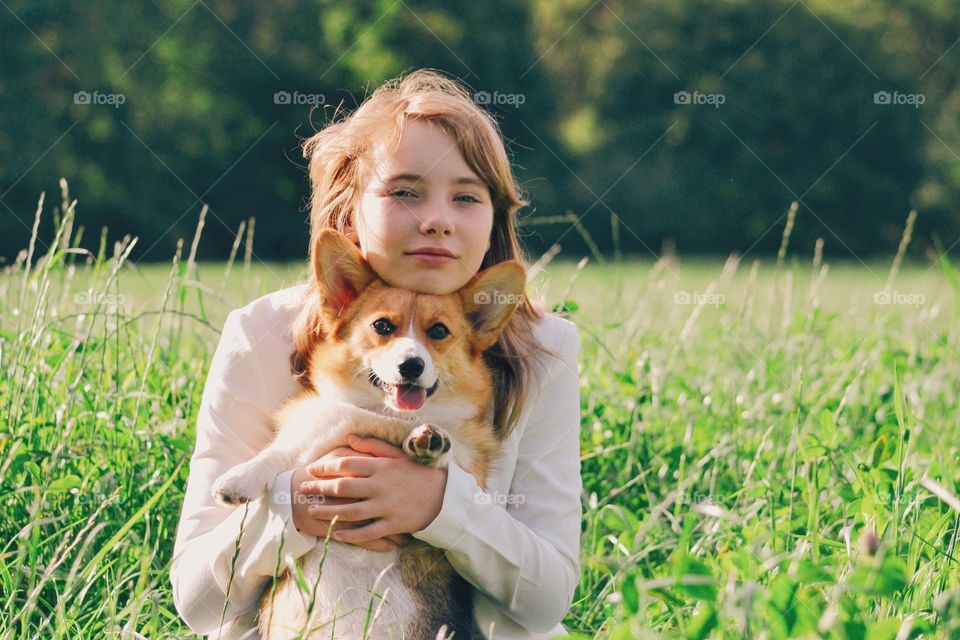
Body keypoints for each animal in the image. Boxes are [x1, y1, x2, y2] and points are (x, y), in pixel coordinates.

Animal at [212, 228, 524, 636]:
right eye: (382, 326)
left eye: (439, 331)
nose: (411, 365)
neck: (384, 418)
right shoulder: (318, 427)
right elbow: (280, 453)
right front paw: (241, 478)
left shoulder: (471, 462)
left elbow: (451, 453)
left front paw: (430, 441)